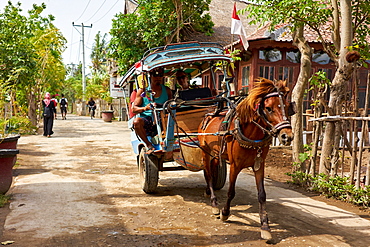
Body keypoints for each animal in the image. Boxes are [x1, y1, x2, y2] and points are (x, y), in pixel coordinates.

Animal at [198, 78, 294, 240]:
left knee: (210, 170)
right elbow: (231, 192)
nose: (287, 136)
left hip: (216, 154)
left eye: (287, 107)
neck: (251, 135)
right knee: (209, 175)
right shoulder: (235, 166)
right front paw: (225, 213)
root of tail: (208, 114)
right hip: (205, 152)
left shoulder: (259, 165)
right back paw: (214, 203)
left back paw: (208, 192)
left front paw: (265, 226)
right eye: (268, 108)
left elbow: (262, 195)